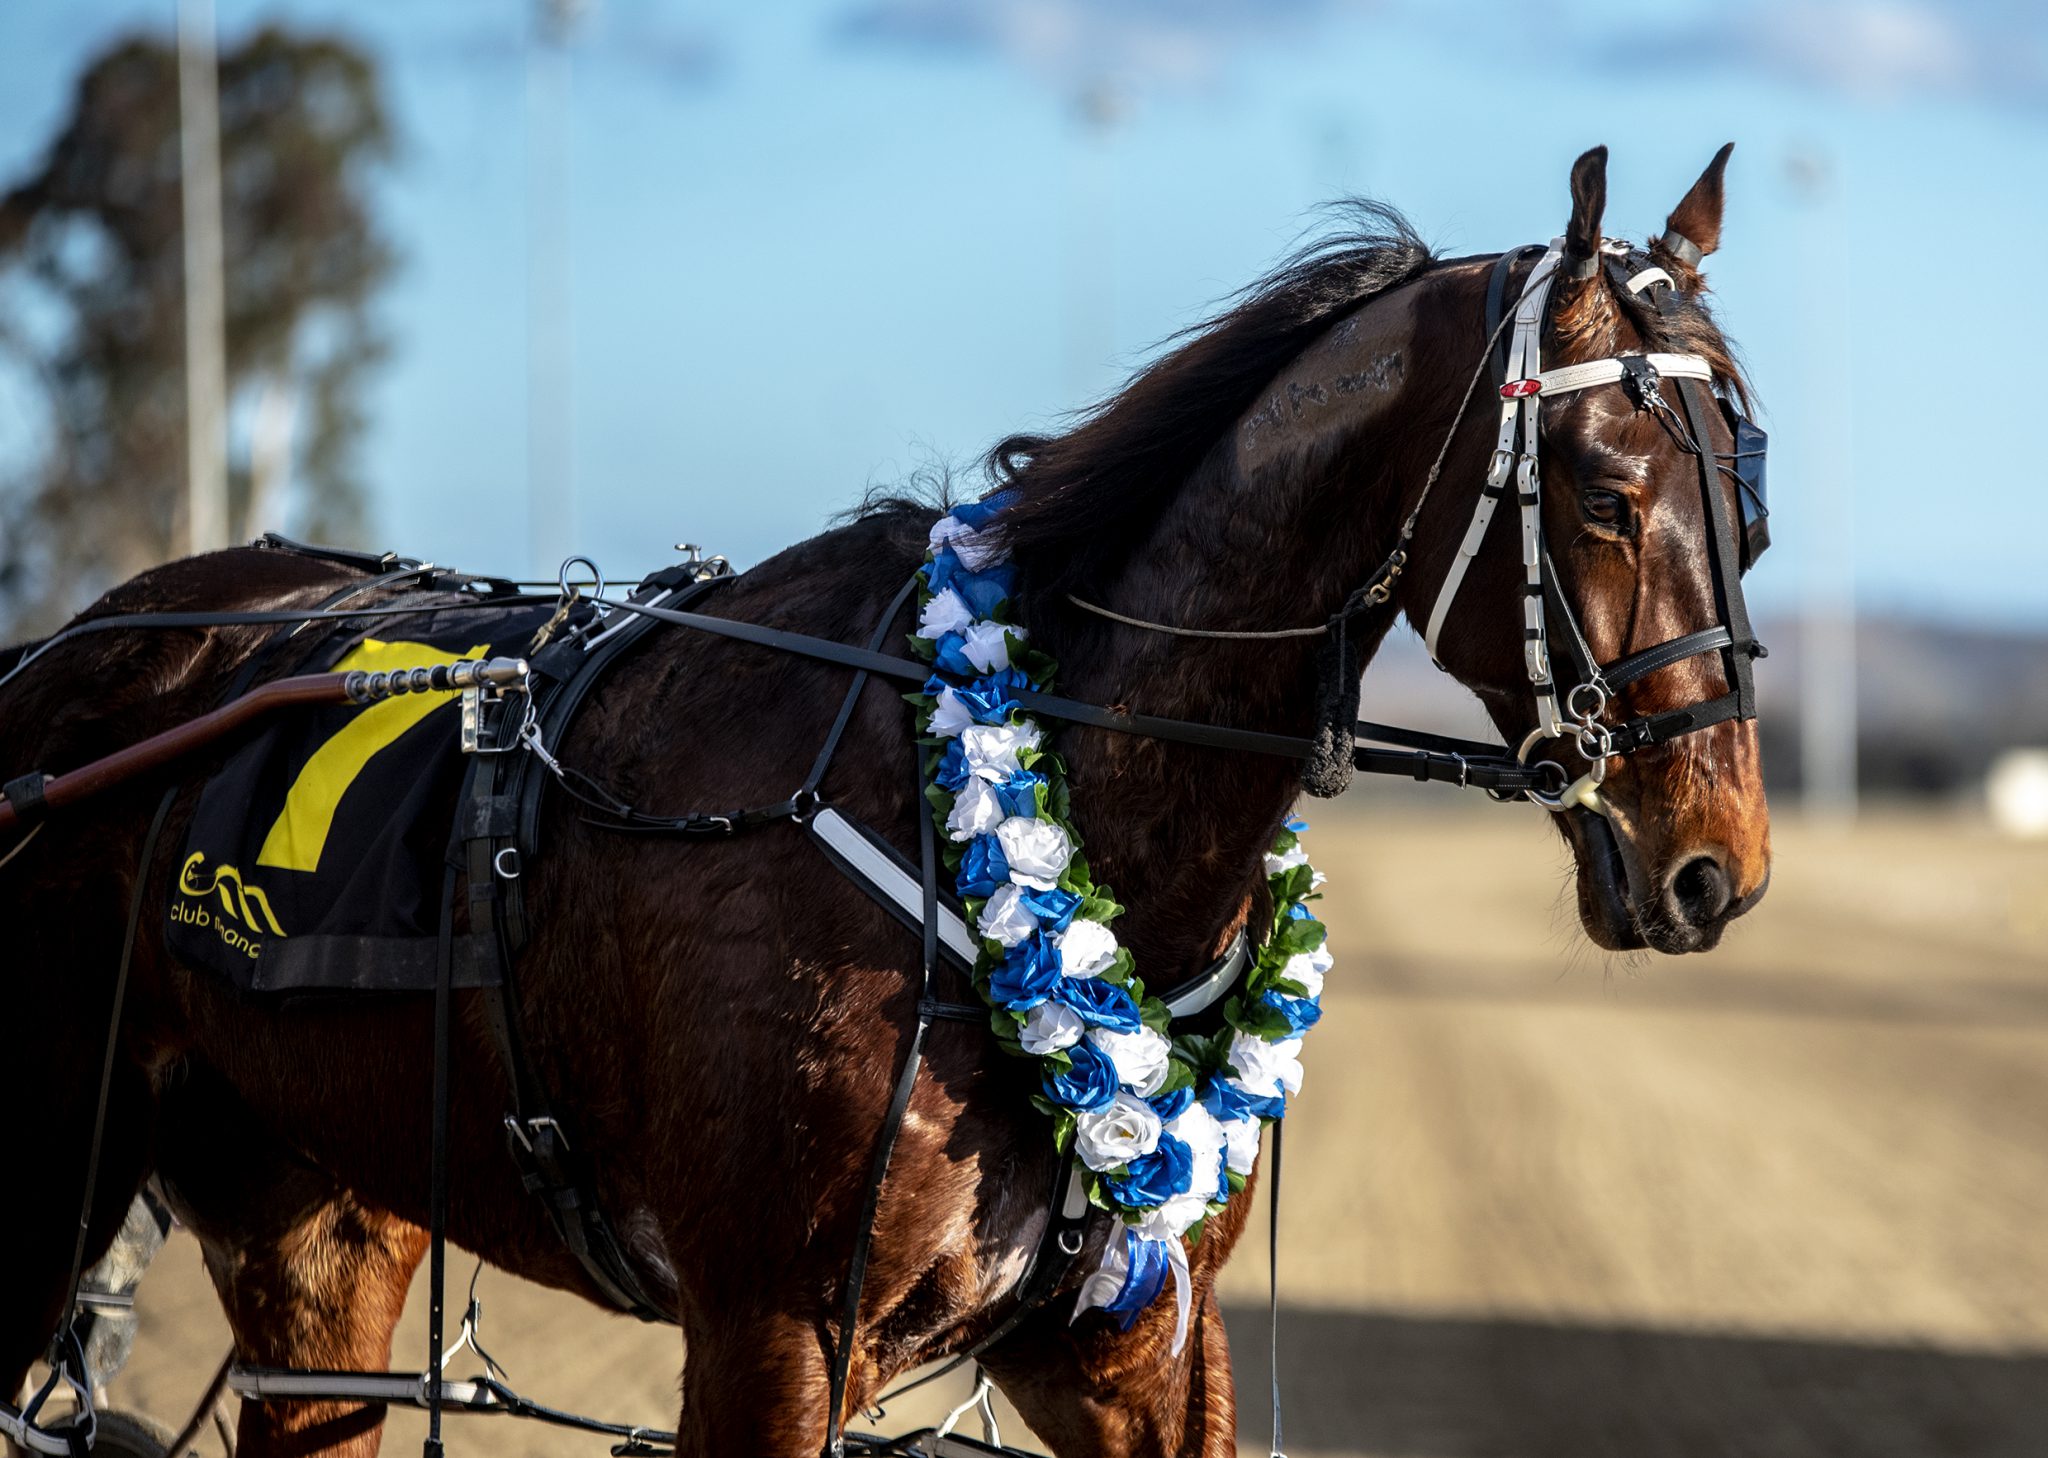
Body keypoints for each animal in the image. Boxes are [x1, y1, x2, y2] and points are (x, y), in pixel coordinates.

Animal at [0, 150, 1761, 1458]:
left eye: (1747, 501)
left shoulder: (1134, 1343)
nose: (1715, 866)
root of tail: (76, 650)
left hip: (316, 1219)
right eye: (1607, 491)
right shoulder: (771, 1334)